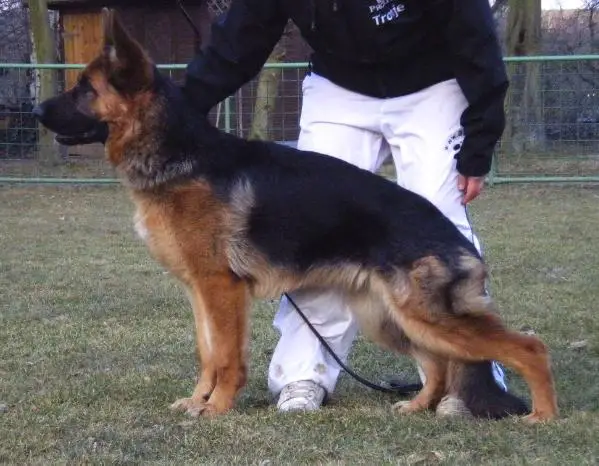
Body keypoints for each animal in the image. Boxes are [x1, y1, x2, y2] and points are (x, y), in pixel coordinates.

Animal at [31, 9, 556, 422]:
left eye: (83, 89)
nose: (35, 110)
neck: (180, 155)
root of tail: (454, 237)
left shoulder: (221, 289)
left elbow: (226, 356)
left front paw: (217, 408)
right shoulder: (199, 290)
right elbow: (207, 353)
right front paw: (198, 401)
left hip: (426, 318)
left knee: (528, 347)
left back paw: (542, 416)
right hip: (390, 319)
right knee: (439, 366)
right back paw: (418, 406)